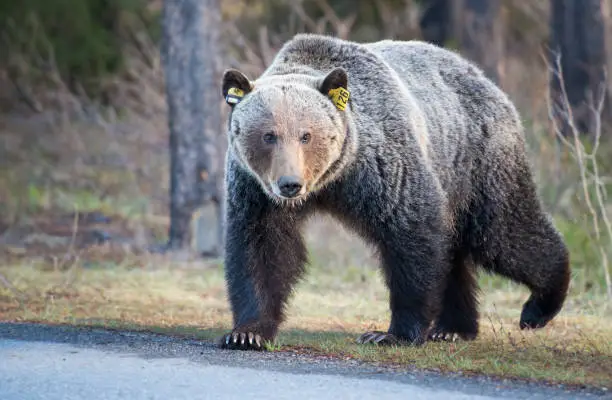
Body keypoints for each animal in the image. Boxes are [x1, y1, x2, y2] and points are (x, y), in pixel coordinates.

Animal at [218, 33, 572, 350]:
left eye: (306, 135)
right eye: (268, 135)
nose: (290, 184)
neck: (332, 180)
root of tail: (486, 80)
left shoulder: (382, 168)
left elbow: (411, 234)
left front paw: (390, 334)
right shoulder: (256, 191)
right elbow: (261, 249)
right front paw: (247, 333)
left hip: (479, 161)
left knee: (503, 231)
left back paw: (539, 306)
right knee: (456, 250)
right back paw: (454, 328)